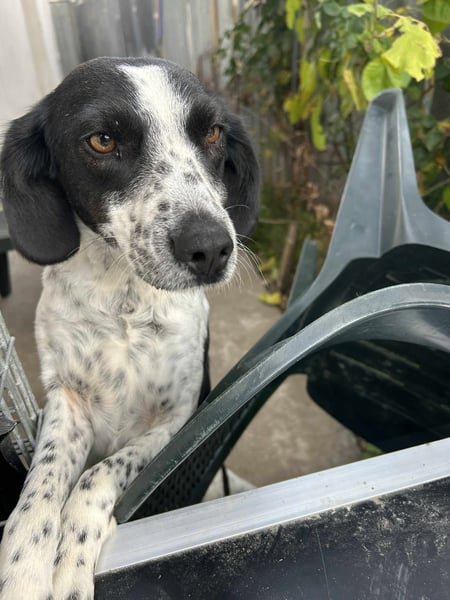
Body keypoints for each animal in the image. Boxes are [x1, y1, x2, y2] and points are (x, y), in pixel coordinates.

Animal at [0, 56, 259, 600]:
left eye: (213, 133)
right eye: (102, 140)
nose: (210, 248)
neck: (123, 298)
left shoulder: (176, 420)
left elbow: (96, 477)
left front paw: (70, 563)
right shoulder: (66, 402)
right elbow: (39, 491)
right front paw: (25, 567)